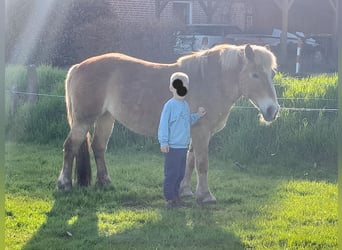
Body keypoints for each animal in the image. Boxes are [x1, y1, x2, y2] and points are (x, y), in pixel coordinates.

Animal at [57, 44, 280, 204]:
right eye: (255, 74)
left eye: (272, 74)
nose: (272, 110)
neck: (208, 82)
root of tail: (77, 67)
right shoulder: (202, 132)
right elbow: (202, 164)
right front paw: (205, 196)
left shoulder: (195, 132)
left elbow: (189, 161)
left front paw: (186, 191)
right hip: (83, 121)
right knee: (70, 146)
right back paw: (64, 184)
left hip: (105, 118)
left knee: (98, 147)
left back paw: (104, 181)